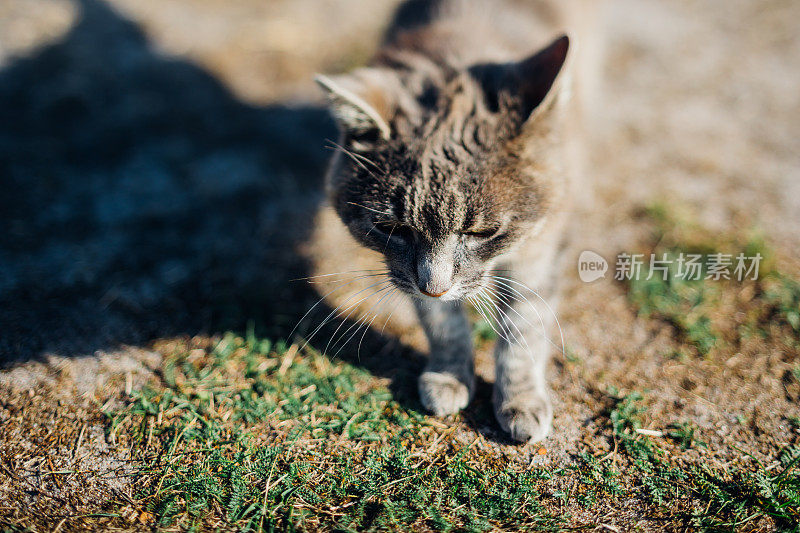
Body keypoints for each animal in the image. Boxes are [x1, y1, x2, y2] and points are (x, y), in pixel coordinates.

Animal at [308, 0, 592, 440]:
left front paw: (521, 400)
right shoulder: (406, 271)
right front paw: (449, 377)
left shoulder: (543, 244)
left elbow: (525, 323)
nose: (436, 286)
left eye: (483, 232)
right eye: (391, 229)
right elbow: (442, 321)